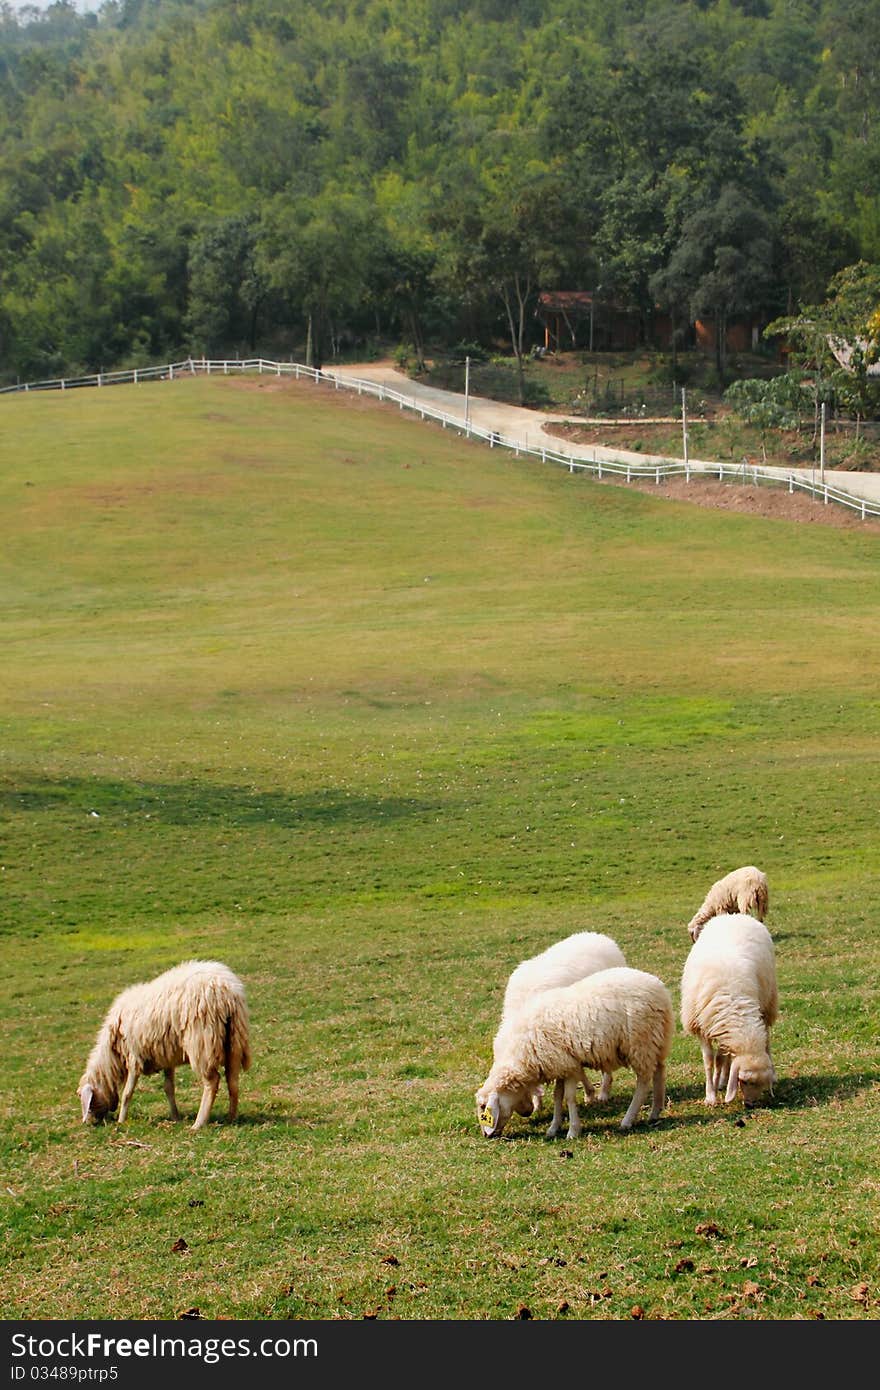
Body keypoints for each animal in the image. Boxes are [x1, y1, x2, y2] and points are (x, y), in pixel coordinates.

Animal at [75, 961, 250, 1134]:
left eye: (84, 1099)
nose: (88, 1123)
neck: (113, 1055)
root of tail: (227, 991)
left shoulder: (134, 1056)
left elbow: (127, 1093)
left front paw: (121, 1120)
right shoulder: (166, 1056)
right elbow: (168, 1088)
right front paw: (175, 1116)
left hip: (202, 1042)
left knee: (212, 1081)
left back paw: (198, 1123)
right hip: (235, 1039)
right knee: (233, 1080)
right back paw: (231, 1117)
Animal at [472, 967, 672, 1139]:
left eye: (483, 1107)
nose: (486, 1136)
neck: (520, 1057)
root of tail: (658, 988)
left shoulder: (569, 1065)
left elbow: (568, 1097)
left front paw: (573, 1131)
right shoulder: (559, 1064)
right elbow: (557, 1096)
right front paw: (553, 1128)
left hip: (640, 1044)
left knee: (643, 1082)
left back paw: (627, 1120)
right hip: (657, 1040)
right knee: (659, 1072)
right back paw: (655, 1111)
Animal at [678, 911, 772, 1106]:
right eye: (744, 1081)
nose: (750, 1105)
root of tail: (734, 915)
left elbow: (721, 1060)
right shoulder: (703, 1025)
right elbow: (710, 1061)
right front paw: (710, 1095)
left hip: (769, 1003)